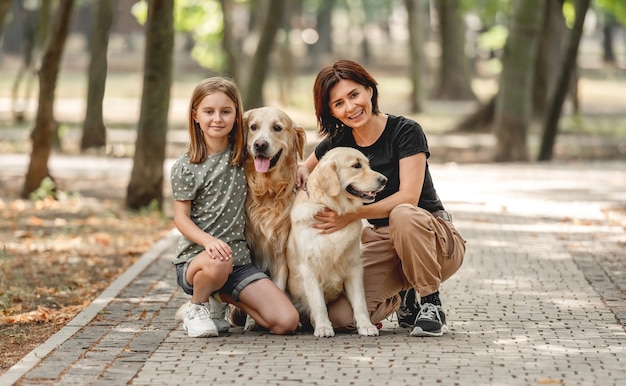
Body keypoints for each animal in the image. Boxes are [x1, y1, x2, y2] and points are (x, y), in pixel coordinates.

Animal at [286, 146, 386, 336]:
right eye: (356, 166)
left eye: (368, 164)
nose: (384, 180)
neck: (333, 207)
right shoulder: (309, 269)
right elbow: (318, 304)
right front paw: (324, 327)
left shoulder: (354, 267)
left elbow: (360, 303)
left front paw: (366, 326)